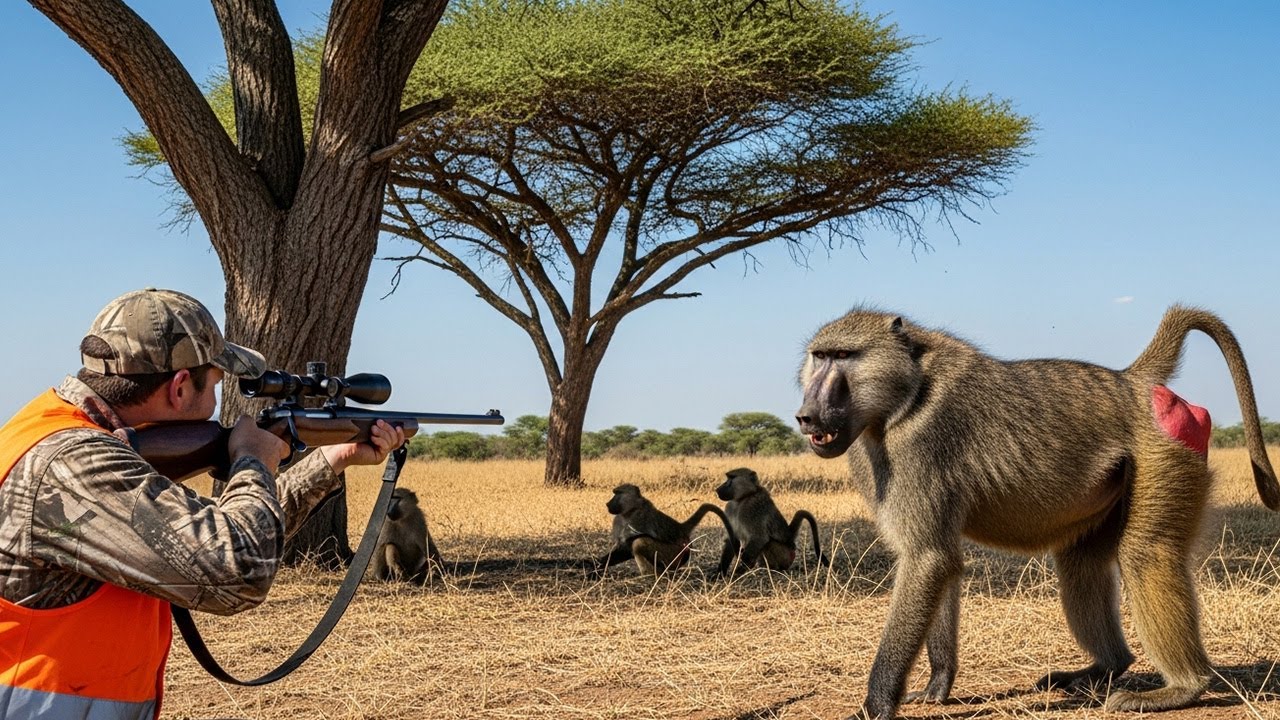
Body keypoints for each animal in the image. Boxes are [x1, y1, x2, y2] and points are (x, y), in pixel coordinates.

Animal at [592, 483, 736, 577]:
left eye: (618, 493)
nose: (607, 504)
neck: (630, 511)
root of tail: (680, 527)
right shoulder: (618, 520)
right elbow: (620, 546)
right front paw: (594, 565)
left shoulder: (639, 519)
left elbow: (627, 546)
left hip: (674, 555)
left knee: (638, 542)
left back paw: (649, 575)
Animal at [794, 305, 1279, 719]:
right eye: (819, 357)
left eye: (843, 356)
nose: (806, 416)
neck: (907, 392)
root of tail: (1131, 380)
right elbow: (941, 562)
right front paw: (936, 686)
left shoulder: (920, 447)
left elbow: (927, 558)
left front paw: (874, 707)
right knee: (1081, 564)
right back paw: (1102, 668)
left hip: (1164, 454)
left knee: (1146, 554)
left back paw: (1181, 688)